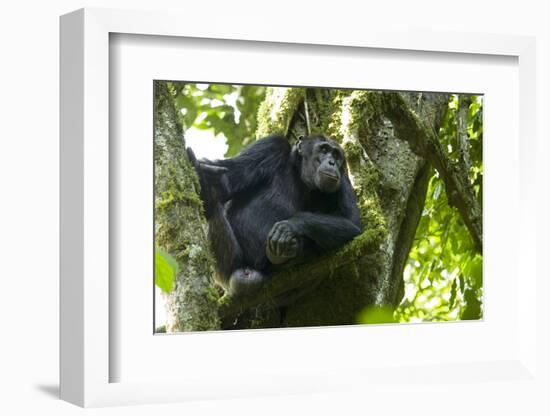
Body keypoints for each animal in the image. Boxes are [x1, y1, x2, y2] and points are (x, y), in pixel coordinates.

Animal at [188, 134, 364, 296]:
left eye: (336, 155)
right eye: (324, 150)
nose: (332, 162)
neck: (301, 176)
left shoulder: (343, 179)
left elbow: (352, 223)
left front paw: (288, 227)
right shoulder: (270, 146)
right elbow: (226, 182)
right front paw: (201, 172)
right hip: (227, 266)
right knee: (213, 207)